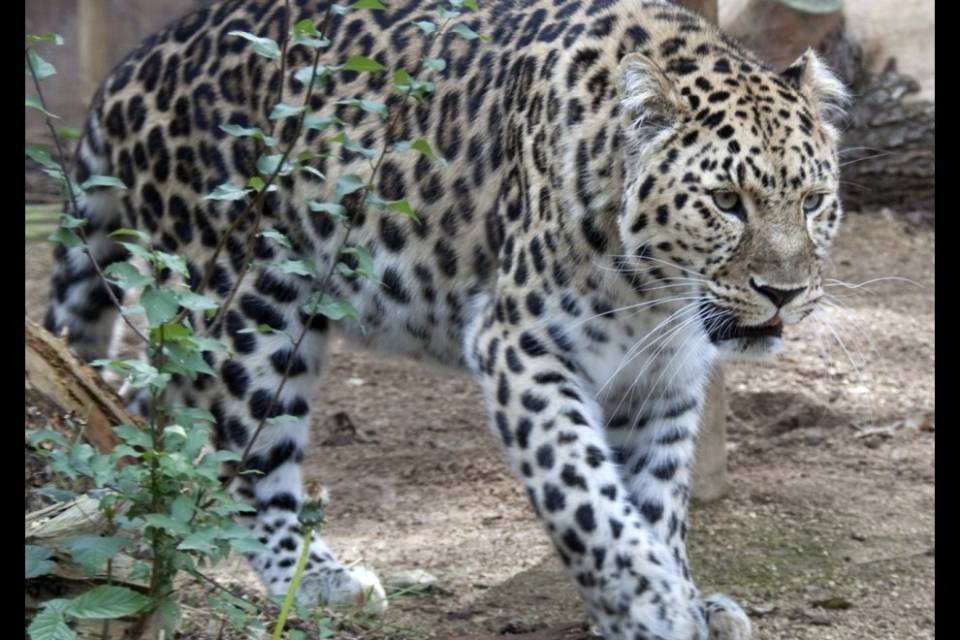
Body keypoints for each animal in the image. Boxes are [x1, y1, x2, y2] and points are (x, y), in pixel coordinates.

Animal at [43, 0, 848, 637]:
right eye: (727, 202)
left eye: (812, 202)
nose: (783, 292)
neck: (657, 295)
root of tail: (131, 65)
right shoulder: (519, 345)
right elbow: (587, 494)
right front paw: (651, 601)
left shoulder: (661, 381)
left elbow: (654, 499)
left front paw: (680, 594)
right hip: (248, 303)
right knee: (243, 458)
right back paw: (319, 581)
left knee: (147, 408)